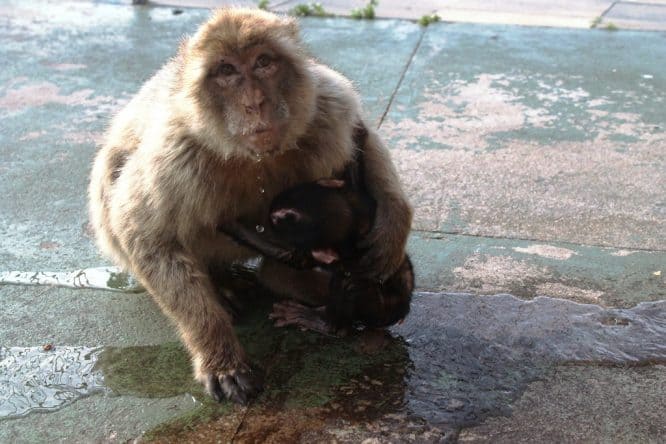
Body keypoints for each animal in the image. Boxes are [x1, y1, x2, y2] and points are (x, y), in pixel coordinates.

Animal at [88, 8, 412, 404]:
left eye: (263, 62)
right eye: (227, 71)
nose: (255, 103)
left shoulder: (327, 105)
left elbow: (360, 136)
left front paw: (392, 231)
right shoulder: (175, 153)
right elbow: (144, 234)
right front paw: (219, 353)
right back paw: (221, 283)